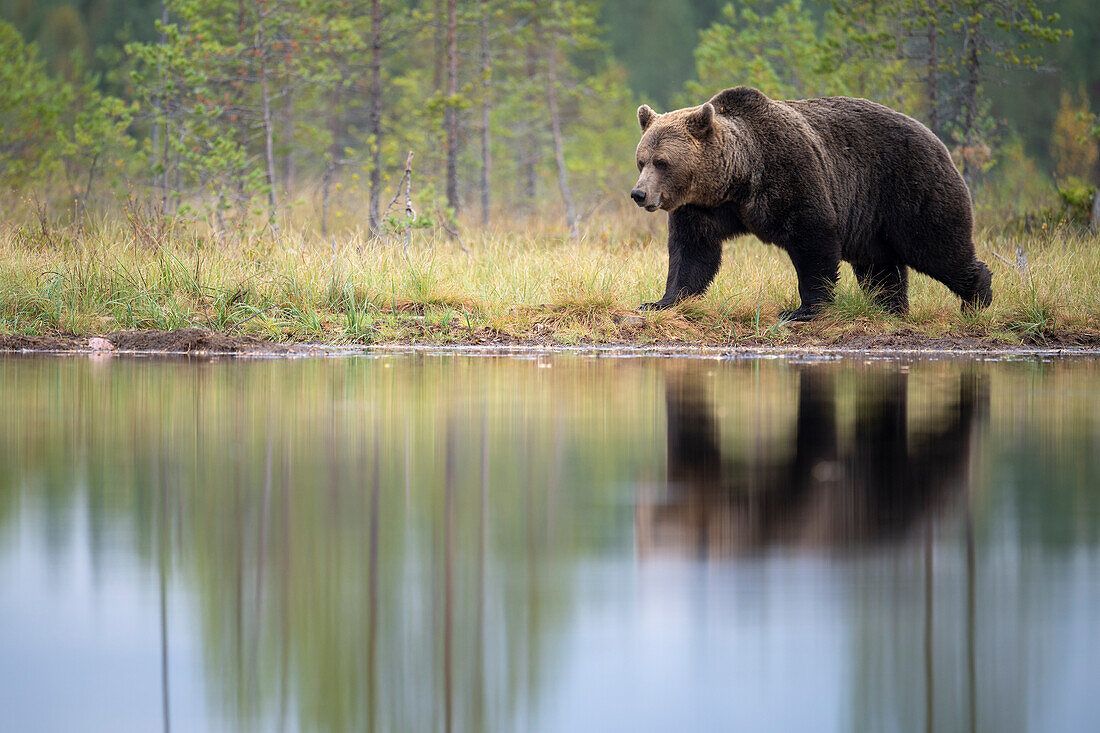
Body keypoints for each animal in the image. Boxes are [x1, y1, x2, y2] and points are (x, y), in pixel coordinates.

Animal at [633, 84, 994, 319]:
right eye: (642, 160)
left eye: (662, 162)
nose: (639, 194)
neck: (737, 180)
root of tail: (937, 139)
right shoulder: (702, 207)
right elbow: (692, 252)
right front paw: (659, 302)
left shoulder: (791, 174)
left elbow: (813, 238)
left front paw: (803, 309)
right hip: (871, 221)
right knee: (880, 267)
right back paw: (890, 309)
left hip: (909, 187)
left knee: (936, 247)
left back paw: (977, 297)